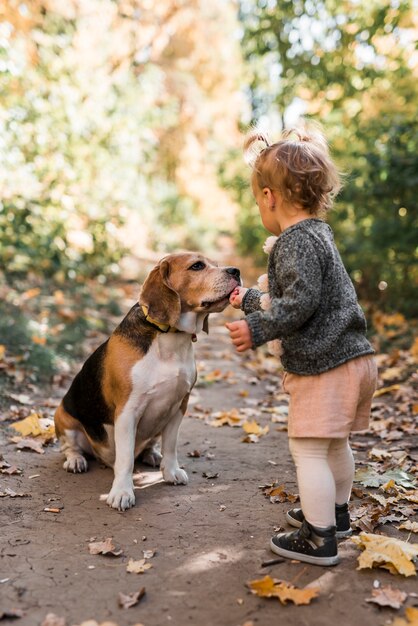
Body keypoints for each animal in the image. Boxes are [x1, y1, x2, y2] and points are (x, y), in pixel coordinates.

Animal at [54, 251, 240, 510]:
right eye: (197, 266)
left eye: (215, 263)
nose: (236, 271)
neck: (169, 337)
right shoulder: (127, 412)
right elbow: (125, 460)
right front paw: (122, 492)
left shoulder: (179, 405)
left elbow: (170, 444)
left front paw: (170, 471)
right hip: (63, 416)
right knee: (70, 446)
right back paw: (76, 460)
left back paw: (152, 454)